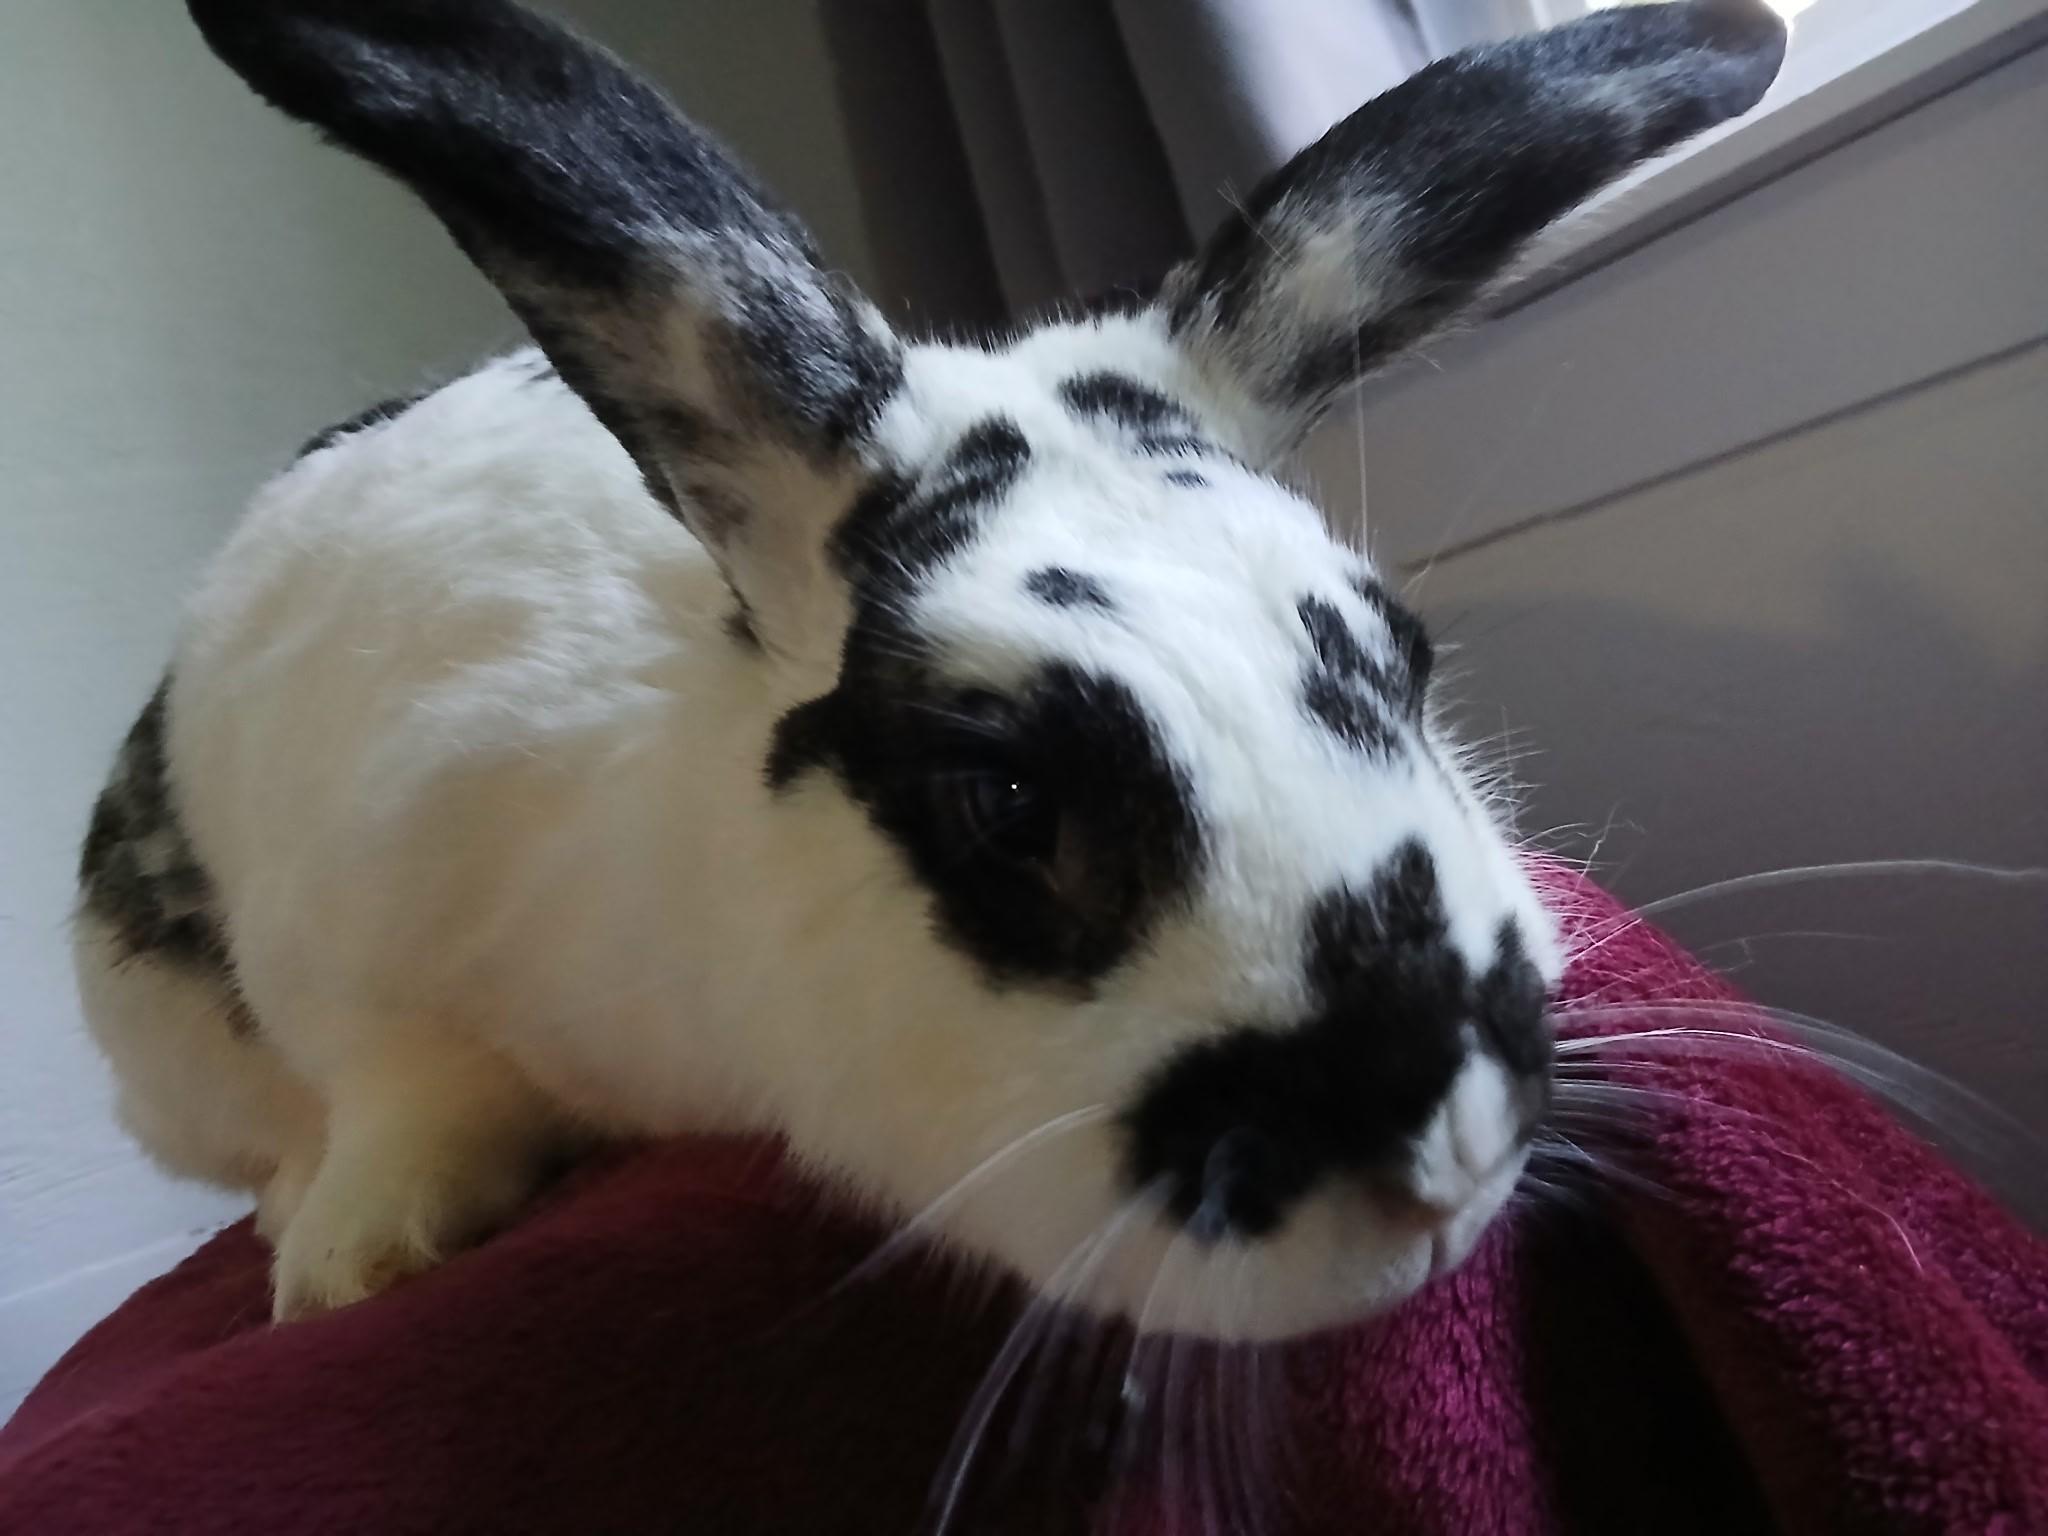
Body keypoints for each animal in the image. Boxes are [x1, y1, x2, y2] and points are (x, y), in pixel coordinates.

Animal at [74, 0, 1786, 1330]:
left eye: (1402, 664)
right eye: (1004, 798)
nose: (1448, 1148)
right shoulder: (358, 948)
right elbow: (399, 1091)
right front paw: (360, 1261)